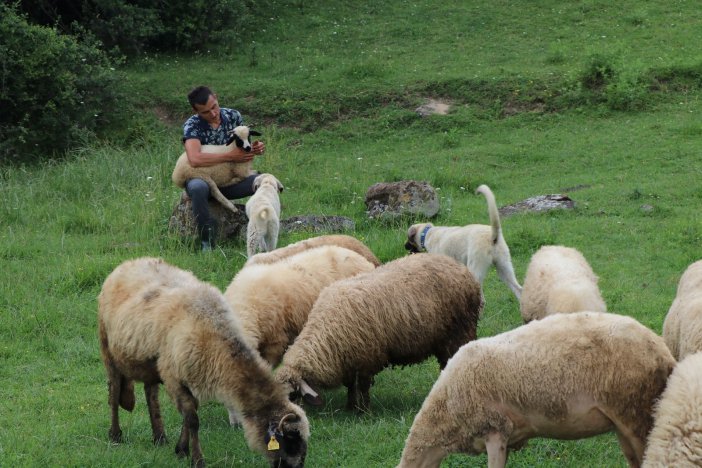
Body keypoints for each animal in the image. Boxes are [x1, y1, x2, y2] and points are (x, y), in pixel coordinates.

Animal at [97, 258, 310, 466]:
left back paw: (159, 437)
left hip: (150, 364)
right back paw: (115, 435)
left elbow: (187, 416)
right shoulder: (174, 377)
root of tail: (128, 263)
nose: (298, 467)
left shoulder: (191, 374)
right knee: (114, 393)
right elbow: (192, 419)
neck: (214, 331)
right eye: (291, 438)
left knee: (151, 395)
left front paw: (181, 450)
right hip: (107, 348)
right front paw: (197, 459)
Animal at [276, 254, 484, 412]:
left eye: (292, 395)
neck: (325, 334)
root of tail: (462, 269)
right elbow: (350, 386)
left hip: (459, 332)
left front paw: (364, 411)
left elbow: (363, 386)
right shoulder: (348, 361)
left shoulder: (367, 358)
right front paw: (350, 407)